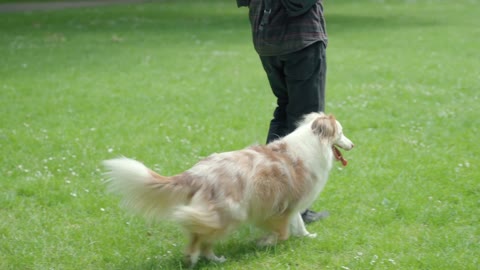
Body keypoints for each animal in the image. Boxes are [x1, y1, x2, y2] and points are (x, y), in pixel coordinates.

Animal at [104, 111, 352, 266]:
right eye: (340, 132)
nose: (353, 144)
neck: (313, 142)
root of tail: (197, 173)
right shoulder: (281, 204)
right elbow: (282, 232)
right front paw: (265, 242)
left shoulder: (289, 203)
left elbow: (297, 224)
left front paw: (307, 236)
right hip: (231, 213)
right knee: (200, 237)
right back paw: (197, 257)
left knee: (200, 235)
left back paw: (209, 259)